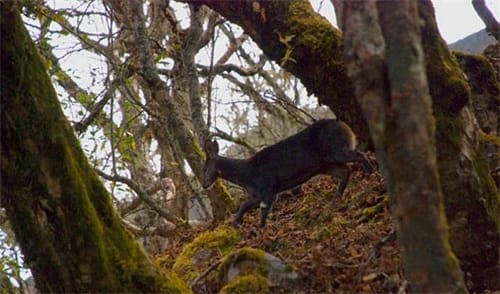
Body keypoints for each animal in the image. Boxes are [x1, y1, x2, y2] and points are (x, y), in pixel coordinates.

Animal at [201, 119, 374, 227]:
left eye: (205, 166)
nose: (204, 184)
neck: (246, 175)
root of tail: (344, 125)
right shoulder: (263, 193)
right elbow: (247, 205)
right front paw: (237, 222)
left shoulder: (267, 189)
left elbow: (259, 211)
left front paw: (252, 228)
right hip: (324, 165)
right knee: (345, 171)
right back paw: (335, 198)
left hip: (336, 149)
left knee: (359, 155)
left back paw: (370, 175)